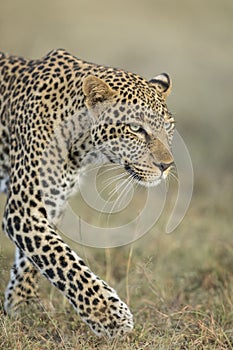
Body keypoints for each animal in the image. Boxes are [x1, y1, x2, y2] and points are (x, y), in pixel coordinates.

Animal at [0, 47, 175, 338]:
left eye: (169, 127)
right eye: (135, 128)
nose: (167, 165)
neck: (82, 148)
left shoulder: (51, 203)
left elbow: (33, 259)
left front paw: (20, 306)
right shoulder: (23, 210)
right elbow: (63, 260)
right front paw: (110, 317)